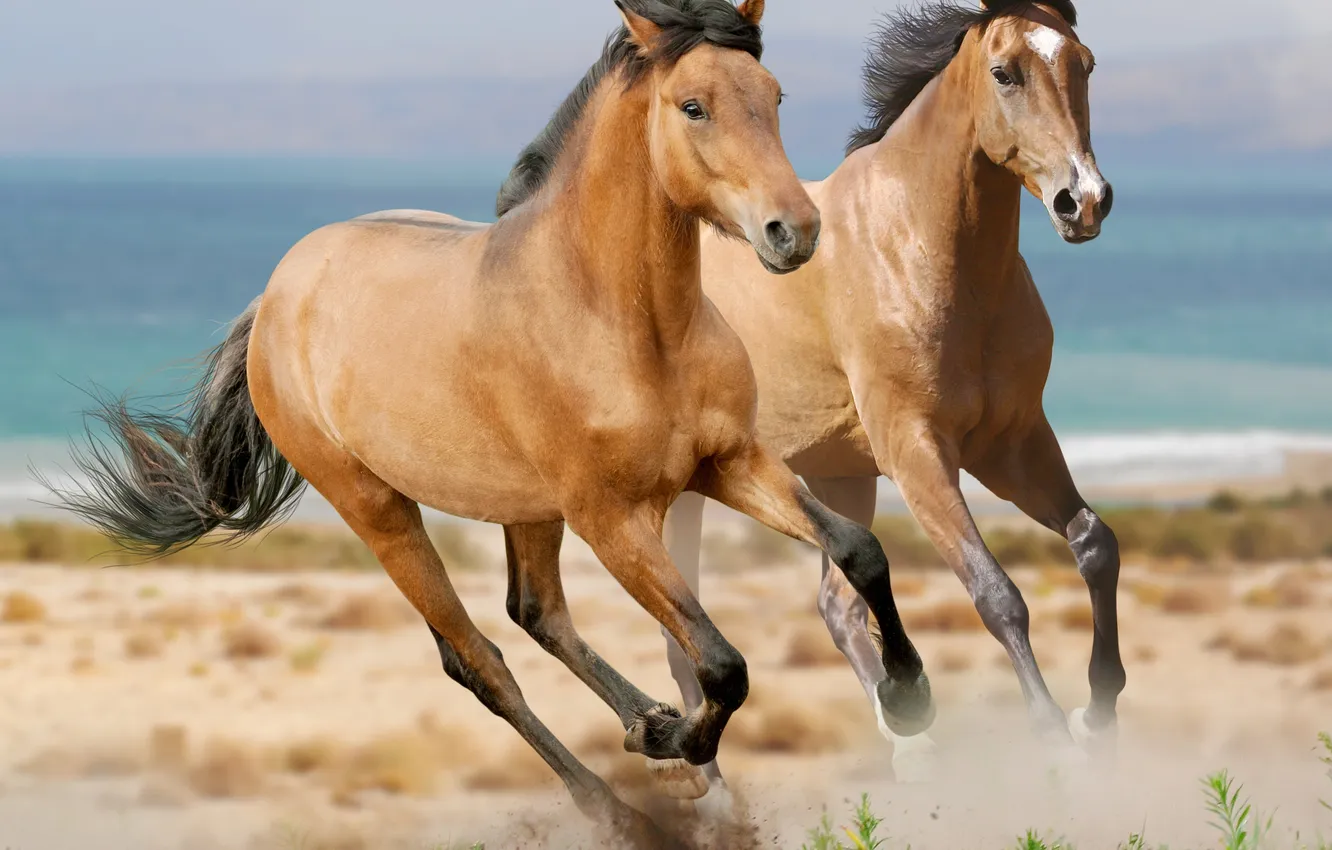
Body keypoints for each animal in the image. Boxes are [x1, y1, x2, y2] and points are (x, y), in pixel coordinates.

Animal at [50, 0, 935, 844]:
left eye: (774, 96)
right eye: (694, 106)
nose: (796, 232)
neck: (625, 320)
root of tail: (276, 295)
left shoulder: (731, 462)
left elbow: (859, 550)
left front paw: (910, 696)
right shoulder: (614, 520)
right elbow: (723, 664)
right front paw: (679, 743)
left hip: (526, 506)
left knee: (536, 612)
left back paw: (647, 728)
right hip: (379, 510)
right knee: (478, 659)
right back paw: (625, 808)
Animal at [657, 0, 1121, 807]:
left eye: (1084, 63)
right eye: (1005, 72)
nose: (1083, 201)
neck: (922, 248)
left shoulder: (1013, 443)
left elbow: (1094, 543)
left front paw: (1098, 714)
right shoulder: (917, 452)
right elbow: (996, 593)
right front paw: (1055, 743)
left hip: (839, 473)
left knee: (837, 606)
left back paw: (911, 742)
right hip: (686, 493)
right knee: (681, 634)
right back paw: (714, 789)